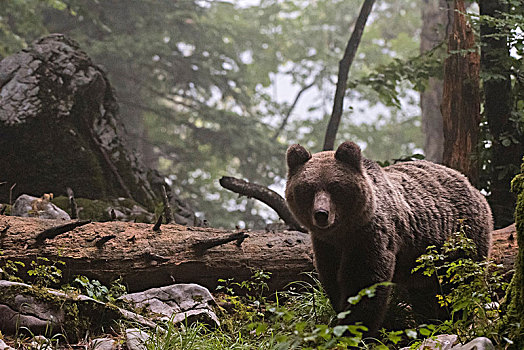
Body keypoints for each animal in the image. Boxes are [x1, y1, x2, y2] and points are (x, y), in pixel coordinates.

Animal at [284, 141, 494, 334]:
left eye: (335, 187)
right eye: (308, 188)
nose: (321, 214)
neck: (343, 232)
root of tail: (472, 187)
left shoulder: (369, 236)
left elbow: (364, 283)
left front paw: (356, 329)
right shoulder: (326, 245)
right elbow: (332, 280)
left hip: (460, 237)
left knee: (459, 281)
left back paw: (454, 319)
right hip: (423, 260)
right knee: (425, 292)